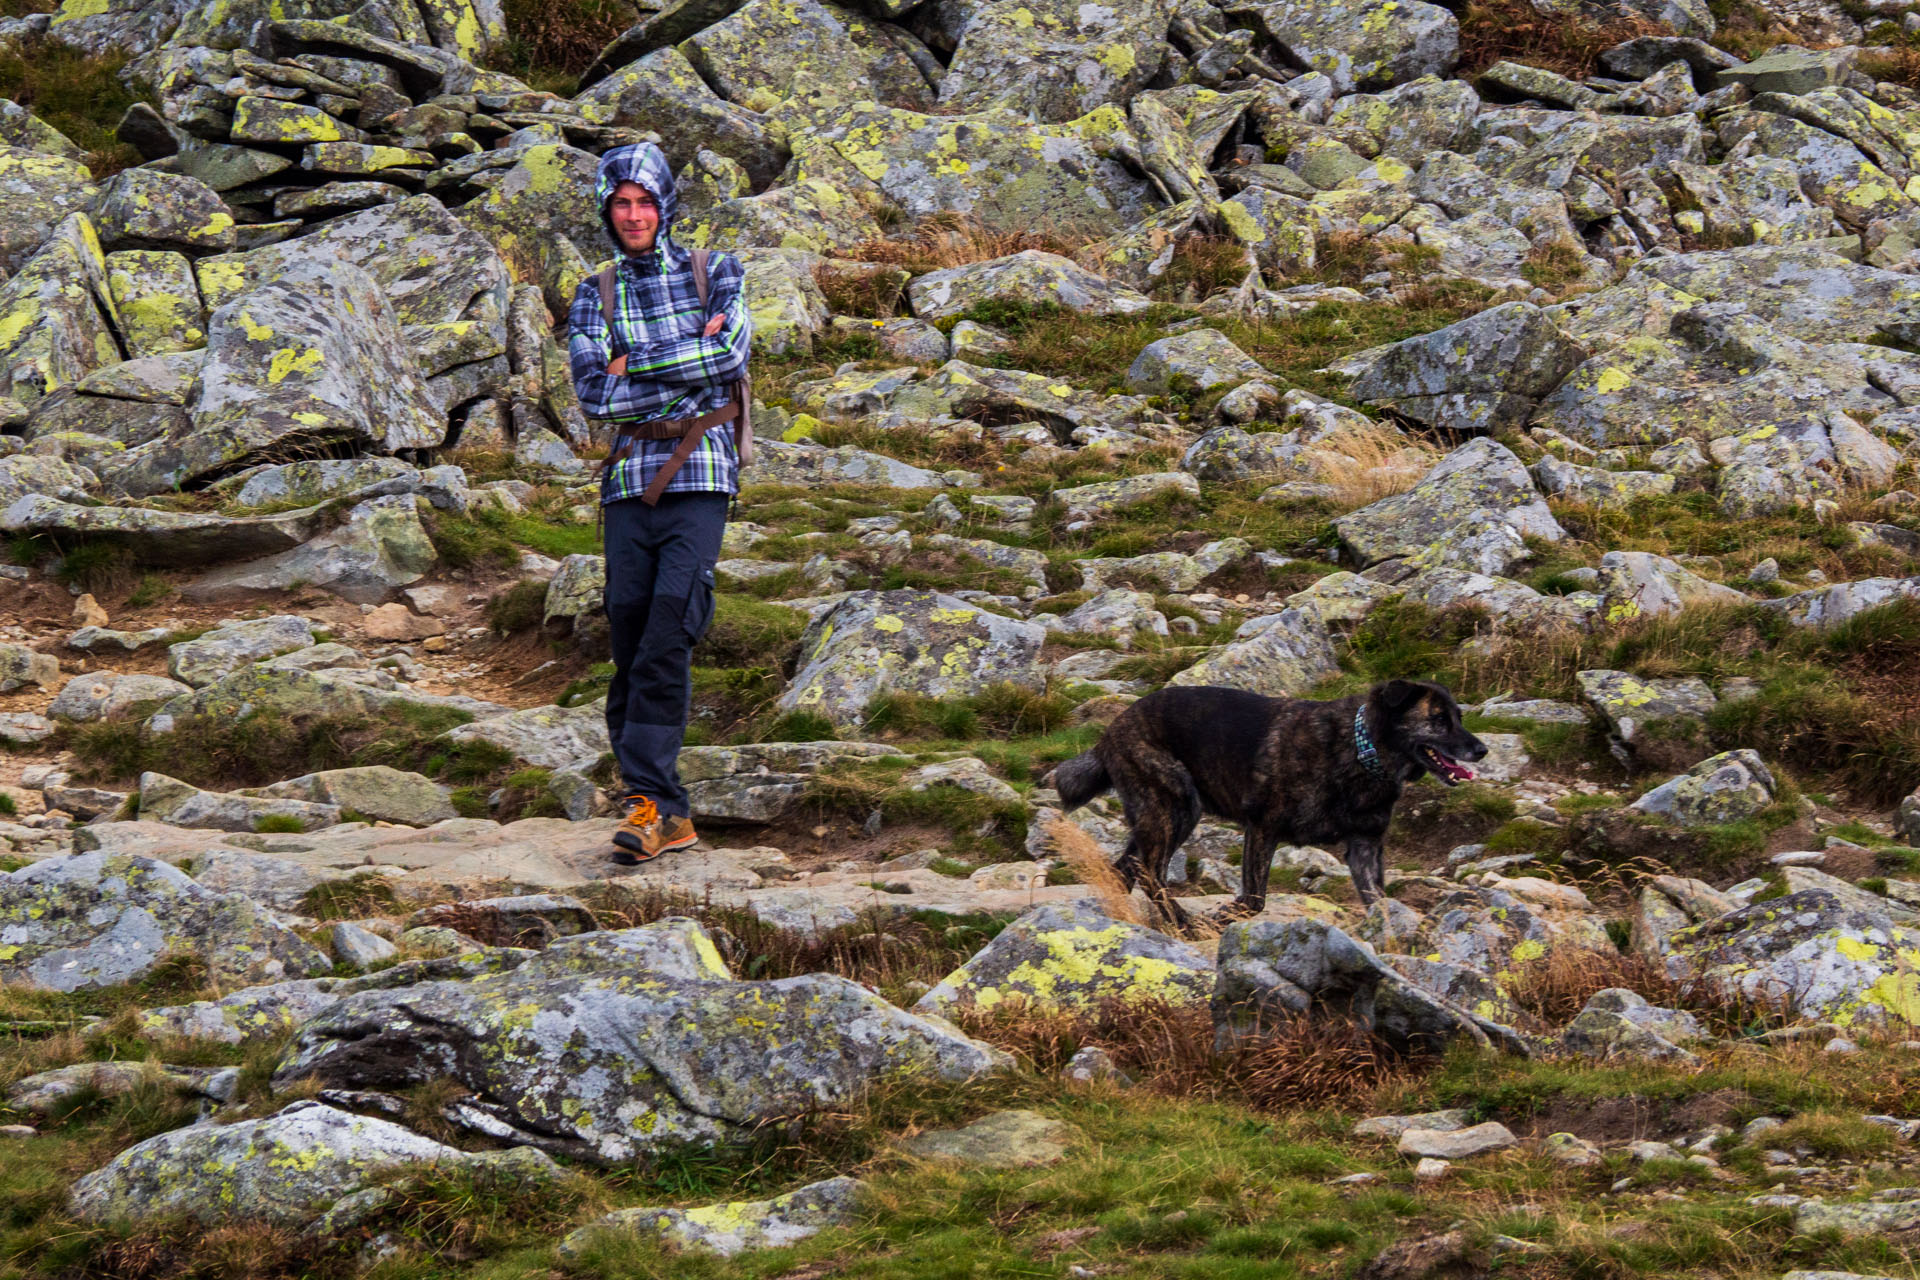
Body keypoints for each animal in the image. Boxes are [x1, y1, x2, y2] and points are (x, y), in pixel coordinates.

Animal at [1052, 679, 1482, 932]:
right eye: (1438, 720)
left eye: (1459, 717)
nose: (1481, 749)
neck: (1364, 753)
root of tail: (1109, 732)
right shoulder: (1262, 827)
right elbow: (1255, 900)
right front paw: (1223, 917)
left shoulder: (1365, 847)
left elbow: (1380, 903)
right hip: (1177, 808)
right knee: (1151, 874)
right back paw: (1185, 922)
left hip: (1156, 816)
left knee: (1125, 868)